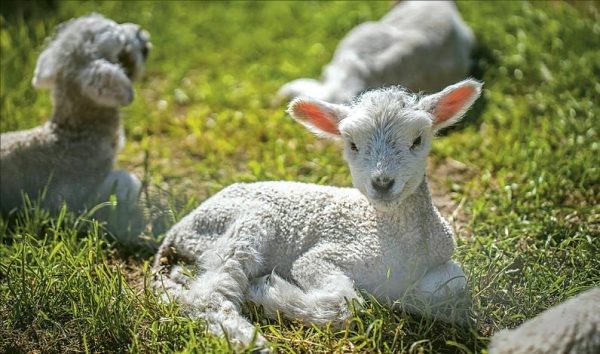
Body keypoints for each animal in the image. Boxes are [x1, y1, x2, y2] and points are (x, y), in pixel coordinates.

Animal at [154, 78, 482, 348]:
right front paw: (266, 293)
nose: (382, 183)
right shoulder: (324, 256)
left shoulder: (443, 259)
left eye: (417, 140)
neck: (390, 235)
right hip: (241, 222)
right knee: (208, 295)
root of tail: (177, 230)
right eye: (352, 145)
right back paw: (248, 339)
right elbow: (345, 306)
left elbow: (455, 283)